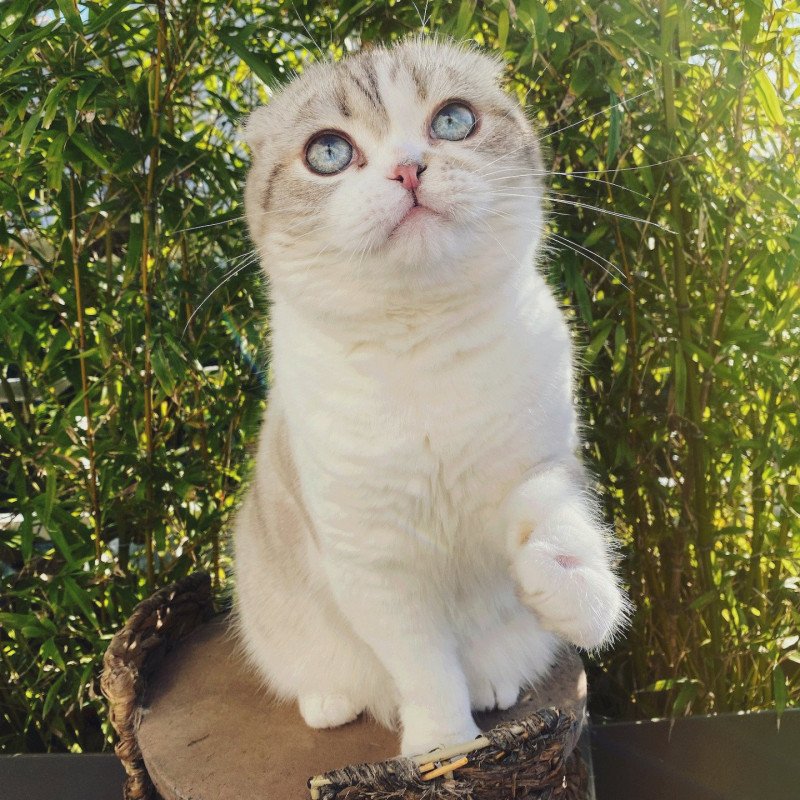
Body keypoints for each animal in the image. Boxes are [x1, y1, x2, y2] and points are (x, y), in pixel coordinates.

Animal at [231, 37, 624, 760]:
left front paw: (561, 577)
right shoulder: (373, 560)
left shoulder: (546, 465)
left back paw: (494, 684)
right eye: (328, 153)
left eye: (453, 121)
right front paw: (443, 750)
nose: (408, 169)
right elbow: (426, 667)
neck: (423, 348)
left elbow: (559, 524)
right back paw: (332, 704)